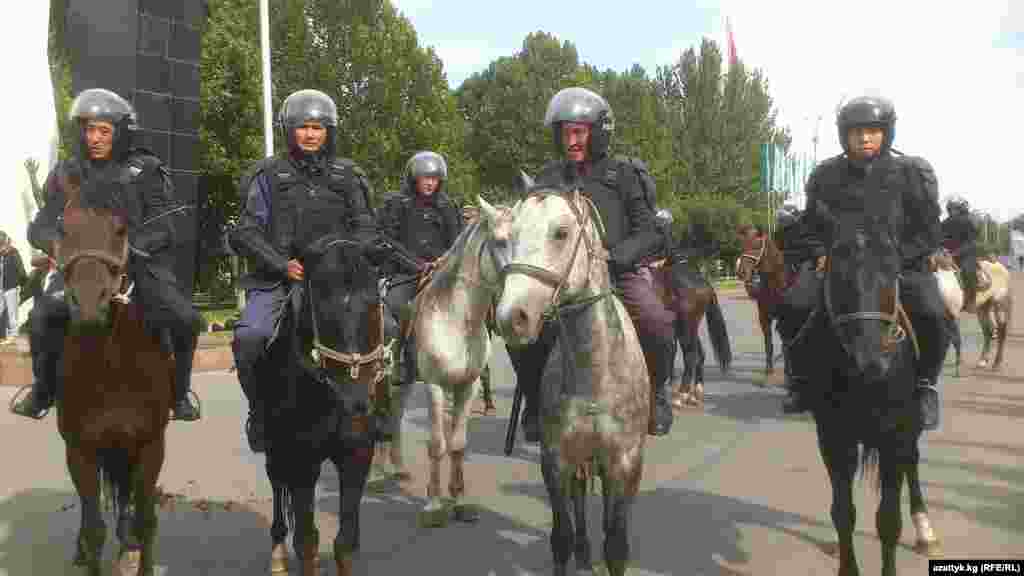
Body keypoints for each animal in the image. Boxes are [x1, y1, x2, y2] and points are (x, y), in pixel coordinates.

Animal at [51, 171, 175, 576]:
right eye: (62, 227)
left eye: (121, 230)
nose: (90, 303)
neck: (112, 364)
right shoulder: (81, 450)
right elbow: (93, 528)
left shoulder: (150, 445)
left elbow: (146, 519)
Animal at [262, 230, 389, 576]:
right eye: (321, 306)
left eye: (372, 303)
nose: (356, 401)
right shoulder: (302, 463)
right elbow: (307, 541)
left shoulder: (357, 455)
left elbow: (346, 540)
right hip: (274, 448)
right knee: (277, 484)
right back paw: (277, 554)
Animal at [405, 199, 508, 527]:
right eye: (501, 241)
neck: (455, 318)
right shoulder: (435, 386)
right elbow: (437, 444)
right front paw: (434, 504)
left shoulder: (467, 385)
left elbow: (458, 443)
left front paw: (459, 501)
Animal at [484, 186, 649, 576]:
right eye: (509, 237)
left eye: (561, 233)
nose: (512, 317)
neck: (596, 374)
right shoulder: (556, 461)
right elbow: (561, 536)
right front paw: (575, 549)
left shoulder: (624, 462)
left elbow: (616, 544)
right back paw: (584, 551)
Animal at [802, 209, 925, 576]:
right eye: (837, 269)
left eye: (893, 268)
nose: (872, 361)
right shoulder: (834, 438)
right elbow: (843, 512)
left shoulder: (894, 437)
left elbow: (888, 520)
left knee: (913, 462)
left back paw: (925, 527)